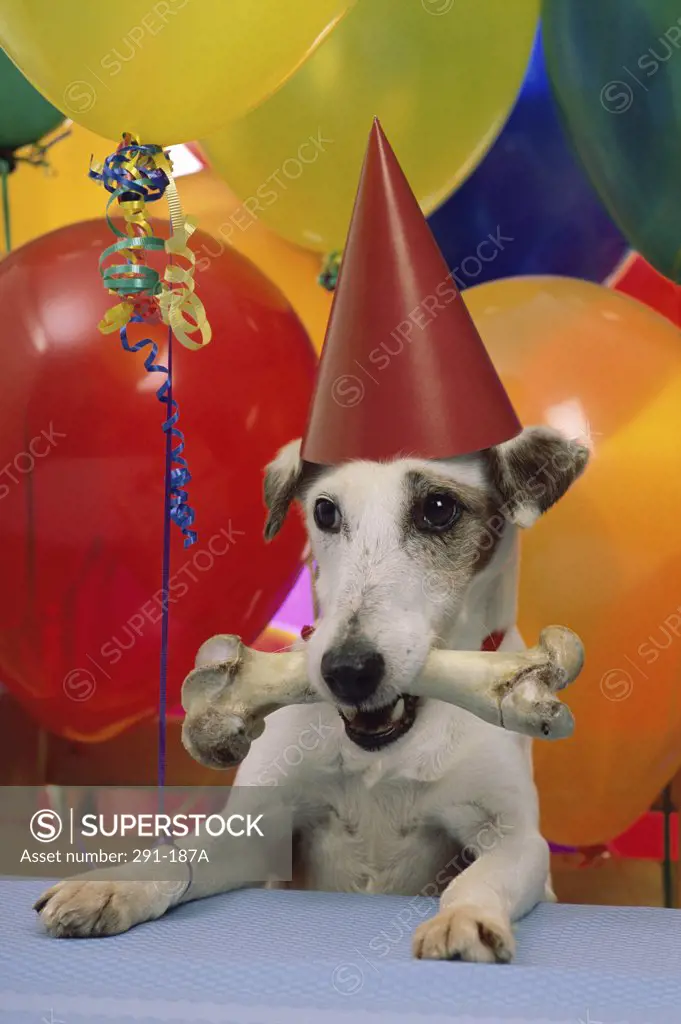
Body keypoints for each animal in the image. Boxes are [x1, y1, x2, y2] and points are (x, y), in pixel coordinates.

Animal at [35, 425, 585, 966]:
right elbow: (181, 853)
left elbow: (482, 876)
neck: (384, 752)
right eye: (325, 511)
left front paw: (465, 917)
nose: (347, 671)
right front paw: (112, 884)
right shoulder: (259, 831)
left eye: (438, 507)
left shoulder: (513, 837)